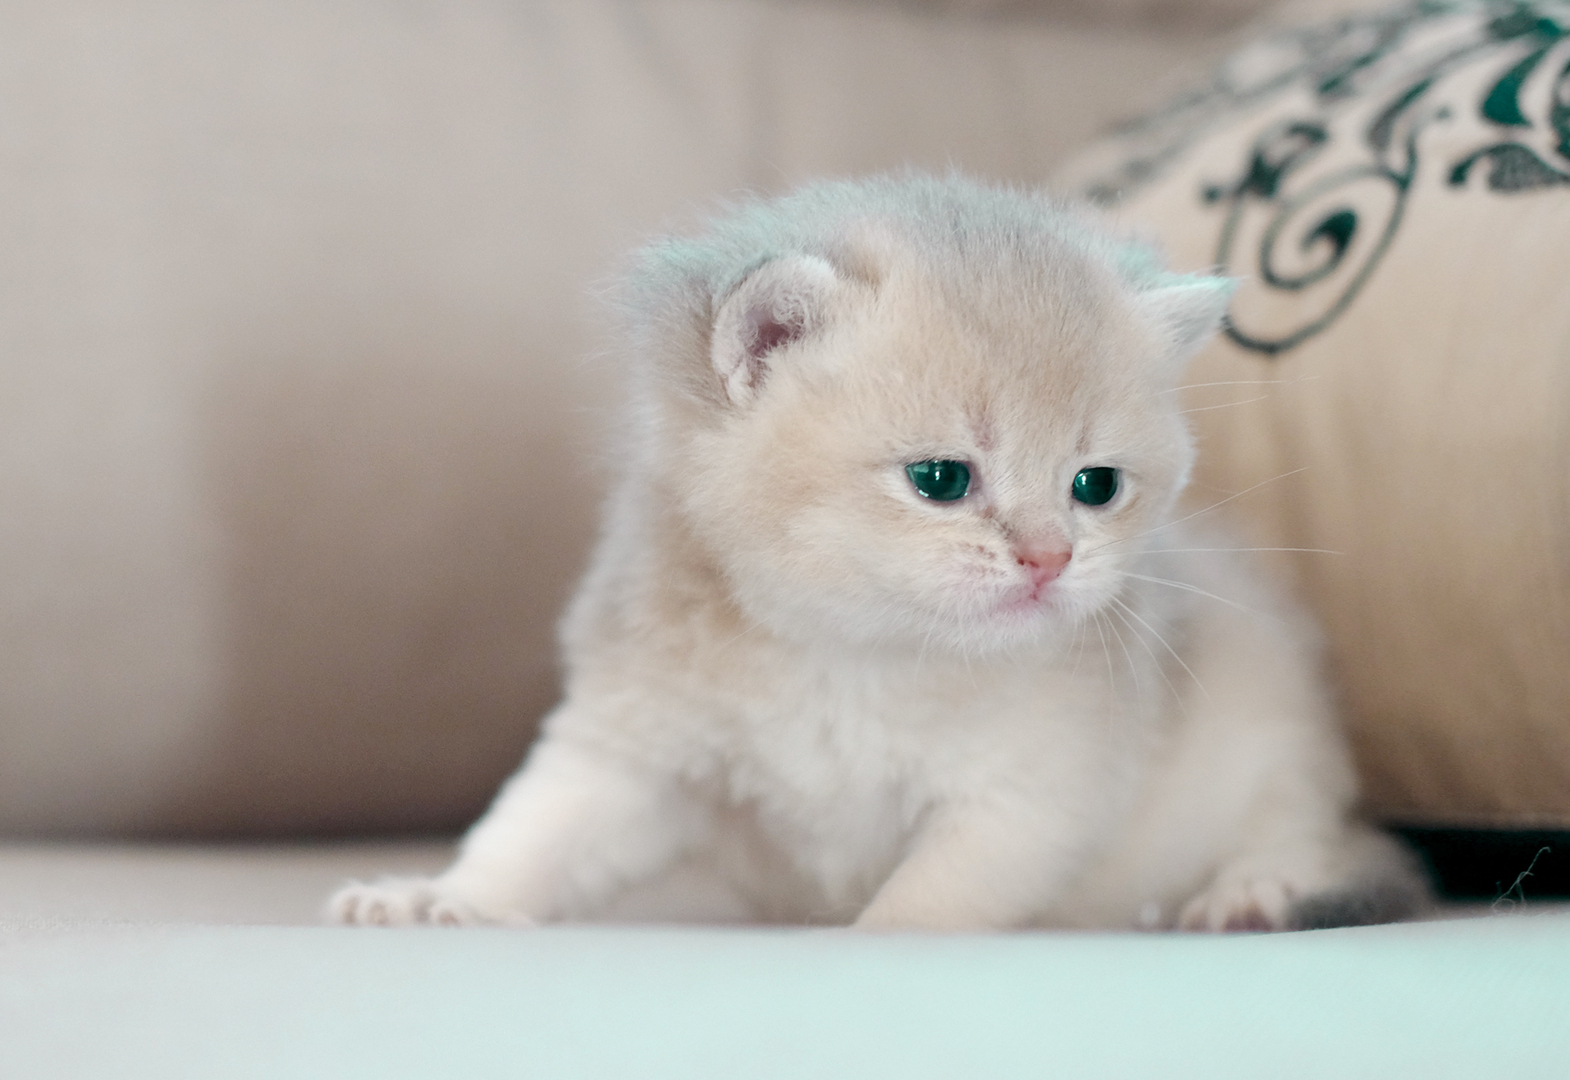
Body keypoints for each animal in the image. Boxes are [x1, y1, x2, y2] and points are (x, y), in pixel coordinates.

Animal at [334, 175, 1438, 929]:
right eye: (941, 480)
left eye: (1094, 487)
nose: (1049, 560)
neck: (853, 654)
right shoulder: (630, 747)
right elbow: (533, 832)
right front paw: (439, 897)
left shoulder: (1025, 802)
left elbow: (924, 909)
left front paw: (871, 941)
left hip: (1276, 726)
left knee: (1314, 830)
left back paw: (1256, 891)